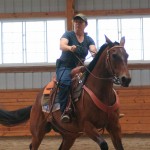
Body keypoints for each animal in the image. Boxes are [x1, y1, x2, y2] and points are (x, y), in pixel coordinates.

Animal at [0, 35, 131, 149]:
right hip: (38, 132)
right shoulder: (87, 126)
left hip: (69, 135)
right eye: (114, 55)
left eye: (127, 55)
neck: (102, 93)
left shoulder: (115, 126)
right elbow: (103, 144)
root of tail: (35, 103)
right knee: (33, 146)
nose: (126, 79)